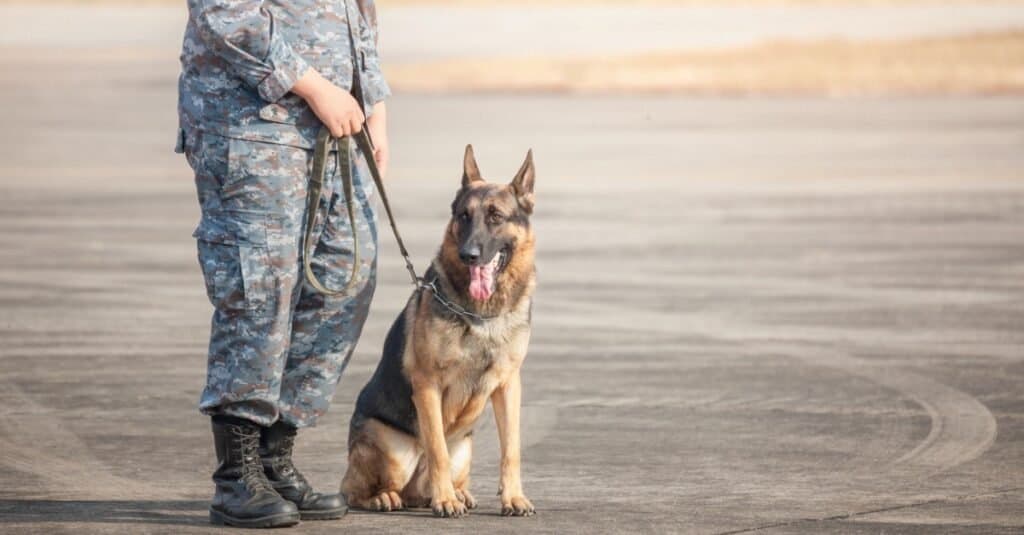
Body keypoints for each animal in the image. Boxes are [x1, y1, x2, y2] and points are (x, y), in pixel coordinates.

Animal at [342, 143, 540, 514]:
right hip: (392, 449)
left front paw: (513, 496)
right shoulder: (427, 384)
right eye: (463, 216)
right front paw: (444, 499)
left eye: (495, 216)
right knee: (354, 489)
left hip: (465, 447)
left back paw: (459, 493)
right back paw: (388, 497)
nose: (468, 255)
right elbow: (436, 450)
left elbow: (512, 450)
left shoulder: (509, 384)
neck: (482, 315)